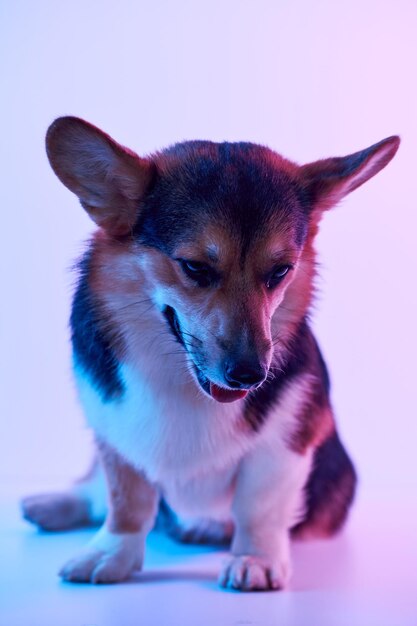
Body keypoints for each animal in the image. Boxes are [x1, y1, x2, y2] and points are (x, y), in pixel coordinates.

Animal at [21, 117, 398, 588]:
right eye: (196, 268)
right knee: (93, 491)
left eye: (281, 271)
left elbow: (258, 506)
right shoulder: (115, 431)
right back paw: (53, 505)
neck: (181, 380)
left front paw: (255, 559)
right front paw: (111, 555)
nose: (249, 375)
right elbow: (125, 499)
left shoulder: (287, 439)